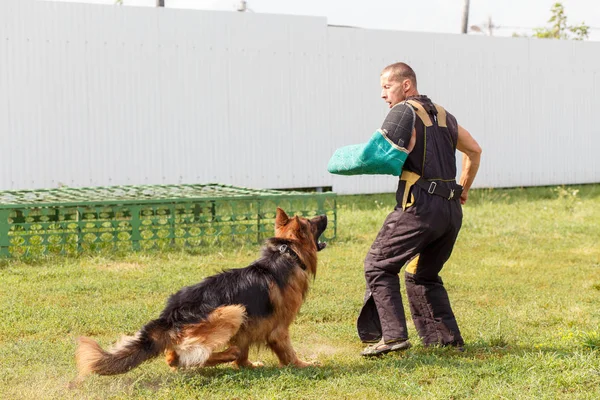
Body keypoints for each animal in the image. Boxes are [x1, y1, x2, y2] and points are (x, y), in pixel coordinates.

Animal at [76, 208, 328, 376]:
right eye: (311, 222)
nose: (325, 215)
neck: (287, 254)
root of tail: (170, 315)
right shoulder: (279, 330)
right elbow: (288, 352)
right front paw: (303, 365)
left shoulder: (249, 325)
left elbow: (245, 349)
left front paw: (246, 365)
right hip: (232, 311)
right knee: (191, 356)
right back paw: (227, 353)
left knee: (172, 357)